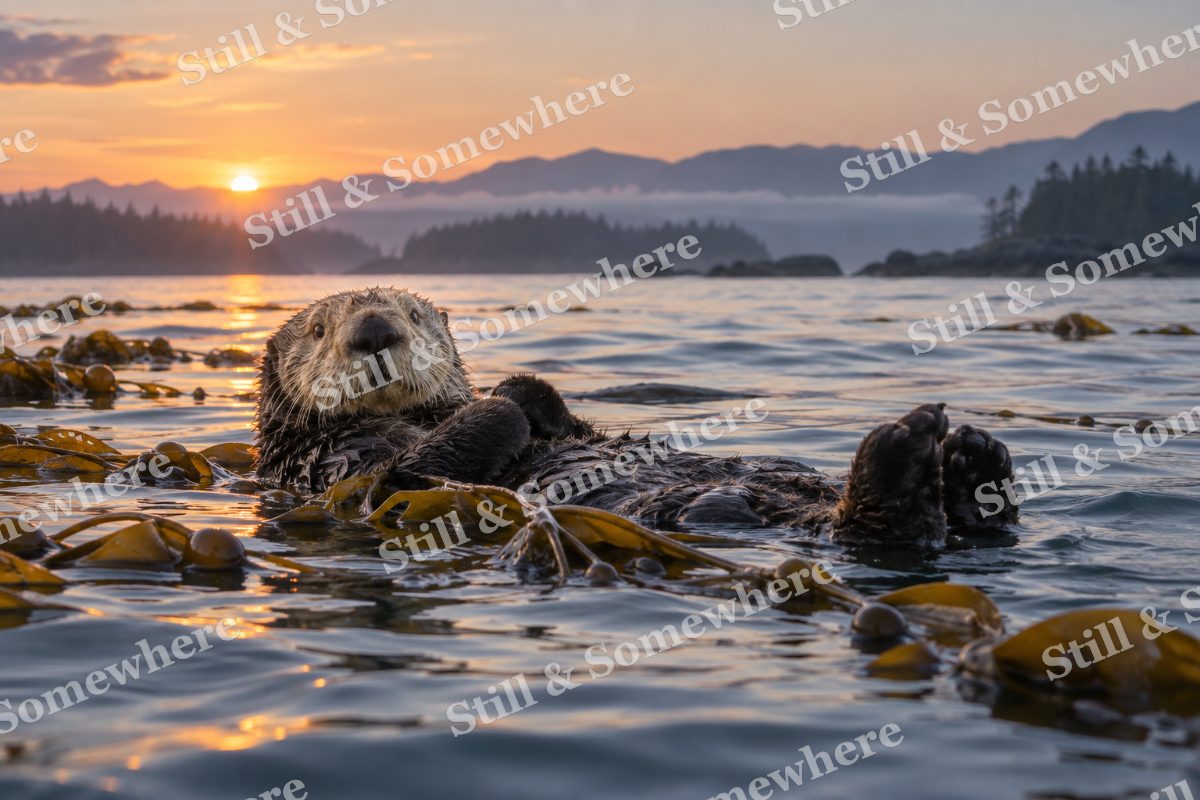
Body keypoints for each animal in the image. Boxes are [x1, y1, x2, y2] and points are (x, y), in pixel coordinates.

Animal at [254, 287, 1019, 548]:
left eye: (414, 315)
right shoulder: (342, 468)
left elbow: (564, 422)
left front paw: (521, 387)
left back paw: (976, 459)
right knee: (880, 526)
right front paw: (501, 402)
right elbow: (412, 469)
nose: (375, 329)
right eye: (319, 329)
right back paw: (914, 443)